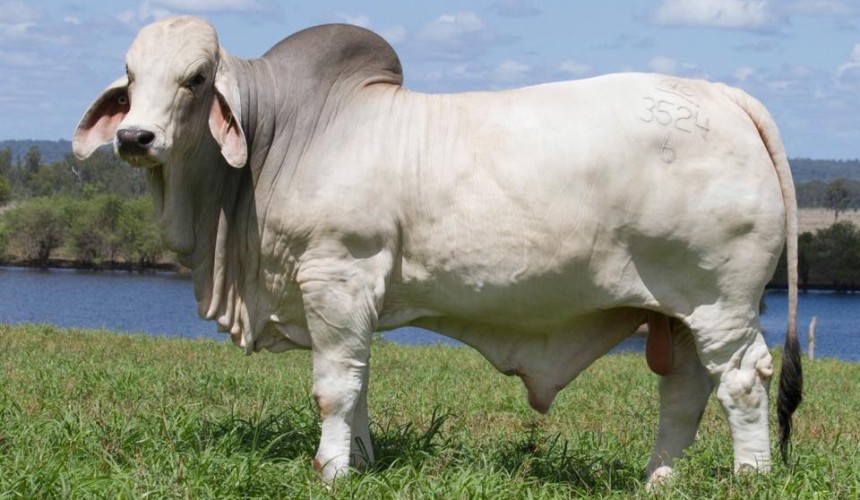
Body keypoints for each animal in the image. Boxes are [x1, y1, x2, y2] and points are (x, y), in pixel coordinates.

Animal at [73, 16, 802, 485]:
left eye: (195, 78)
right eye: (132, 77)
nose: (135, 137)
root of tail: (725, 95)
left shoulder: (336, 277)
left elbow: (334, 388)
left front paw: (331, 471)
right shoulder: (349, 304)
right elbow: (359, 383)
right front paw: (362, 460)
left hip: (721, 304)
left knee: (742, 381)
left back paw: (750, 477)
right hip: (676, 315)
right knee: (683, 393)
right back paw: (659, 479)